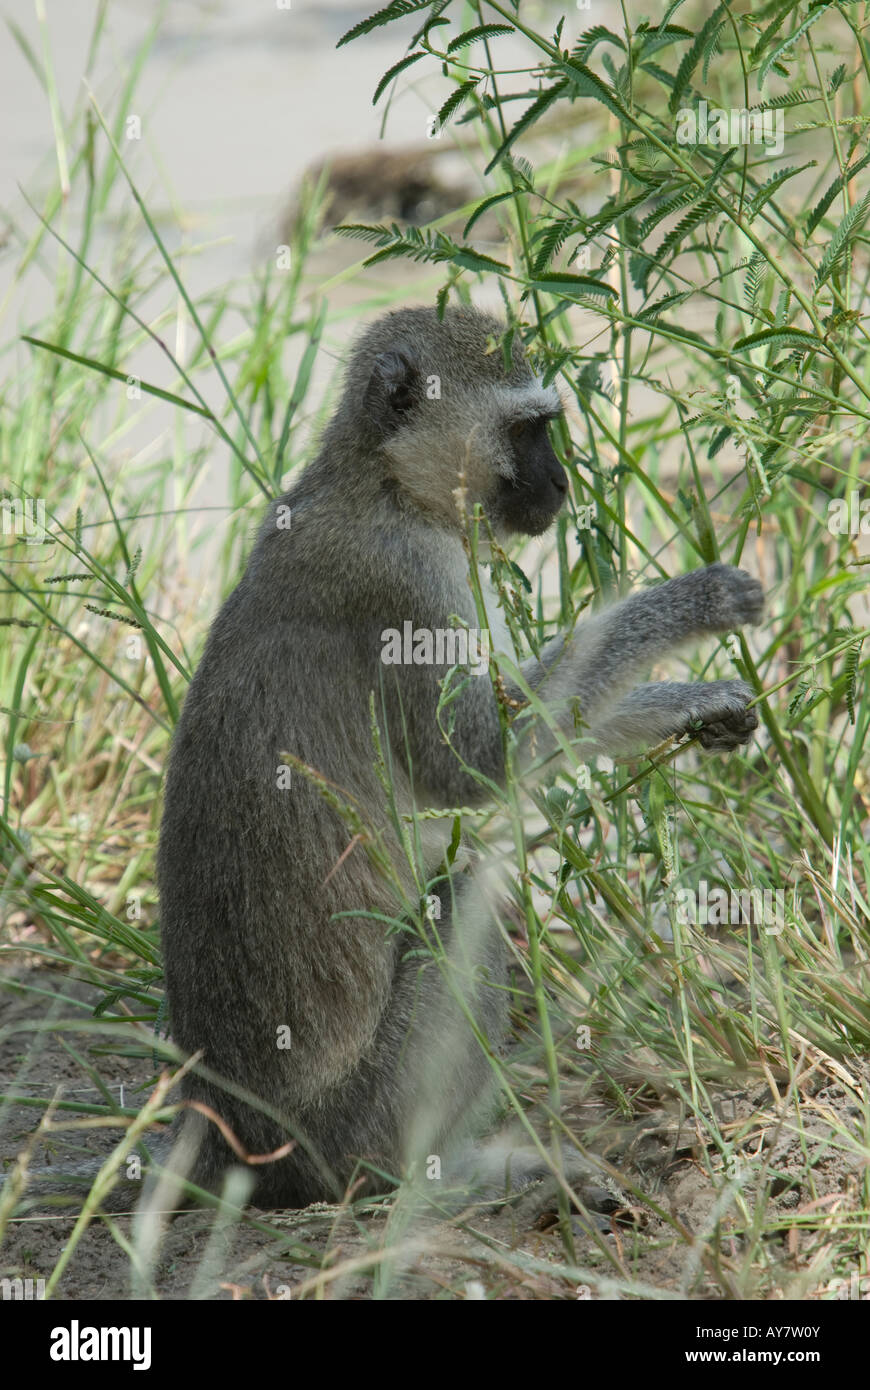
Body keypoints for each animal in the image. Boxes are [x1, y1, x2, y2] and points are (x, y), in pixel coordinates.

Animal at [150, 304, 767, 1217]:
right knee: (467, 895)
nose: (563, 486)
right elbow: (481, 763)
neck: (382, 482)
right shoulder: (409, 583)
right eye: (528, 429)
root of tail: (232, 1139)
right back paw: (456, 1176)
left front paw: (703, 702)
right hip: (357, 1123)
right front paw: (693, 603)